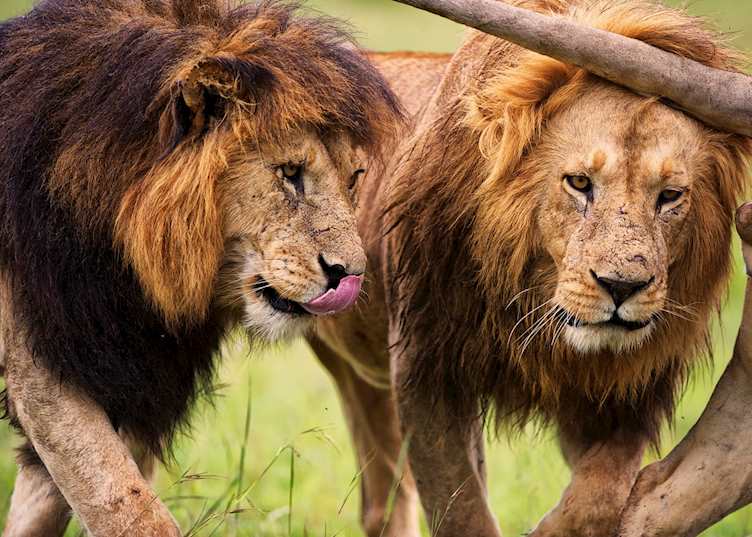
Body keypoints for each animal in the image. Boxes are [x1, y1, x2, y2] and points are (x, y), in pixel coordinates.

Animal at [0, 0, 400, 535]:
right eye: (289, 173)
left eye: (354, 177)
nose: (350, 274)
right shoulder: (45, 371)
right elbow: (129, 509)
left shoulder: (140, 377)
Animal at [310, 1, 752, 536]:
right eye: (579, 182)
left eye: (669, 196)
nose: (621, 287)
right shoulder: (425, 366)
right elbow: (463, 510)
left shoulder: (622, 393)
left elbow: (599, 494)